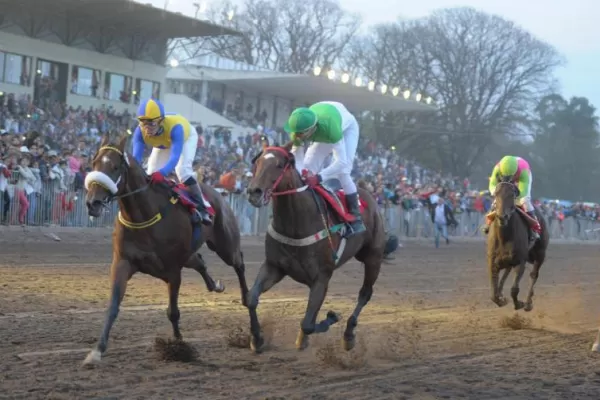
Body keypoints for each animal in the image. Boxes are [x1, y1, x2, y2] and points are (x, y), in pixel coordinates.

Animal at [82, 135, 260, 366]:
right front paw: (97, 351)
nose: (92, 202)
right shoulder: (122, 262)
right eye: (94, 163)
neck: (143, 216)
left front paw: (179, 348)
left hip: (226, 246)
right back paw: (215, 286)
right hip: (190, 254)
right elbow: (113, 307)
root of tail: (218, 193)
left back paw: (254, 326)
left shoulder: (173, 270)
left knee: (239, 264)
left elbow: (173, 312)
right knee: (200, 260)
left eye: (114, 167)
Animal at [488, 182, 548, 312]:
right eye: (496, 194)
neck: (504, 237)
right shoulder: (492, 262)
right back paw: (501, 293)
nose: (502, 217)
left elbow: (514, 289)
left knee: (534, 275)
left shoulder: (520, 261)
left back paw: (528, 303)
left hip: (540, 253)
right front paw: (501, 299)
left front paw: (519, 304)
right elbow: (493, 295)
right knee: (507, 271)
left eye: (512, 195)